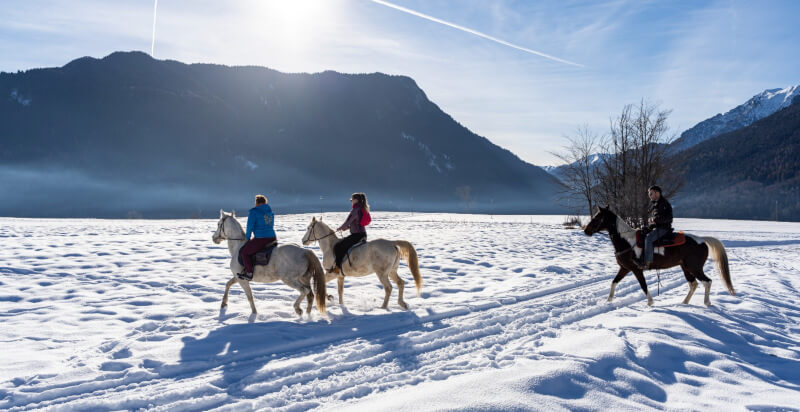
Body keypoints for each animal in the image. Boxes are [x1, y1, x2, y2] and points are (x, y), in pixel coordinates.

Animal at [583, 206, 735, 306]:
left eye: (597, 217)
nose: (586, 230)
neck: (627, 241)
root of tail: (702, 240)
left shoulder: (636, 269)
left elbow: (643, 285)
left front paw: (650, 302)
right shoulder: (625, 268)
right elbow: (614, 282)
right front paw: (608, 301)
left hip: (695, 268)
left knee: (707, 282)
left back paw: (706, 303)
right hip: (686, 268)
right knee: (694, 284)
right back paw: (684, 302)